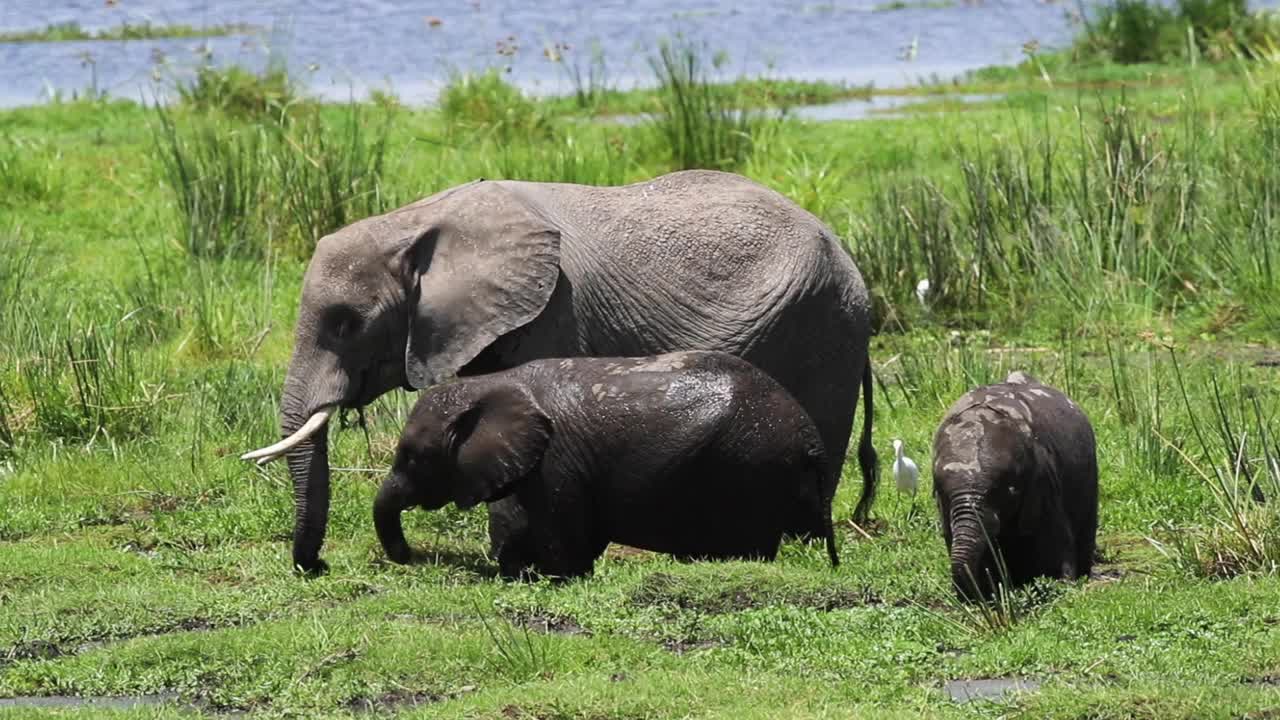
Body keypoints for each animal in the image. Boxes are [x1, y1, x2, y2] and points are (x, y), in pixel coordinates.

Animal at [371, 348, 839, 576]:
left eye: (412, 457)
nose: (407, 556)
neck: (491, 384)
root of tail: (810, 437)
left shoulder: (557, 461)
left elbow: (560, 532)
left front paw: (554, 577)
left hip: (748, 468)